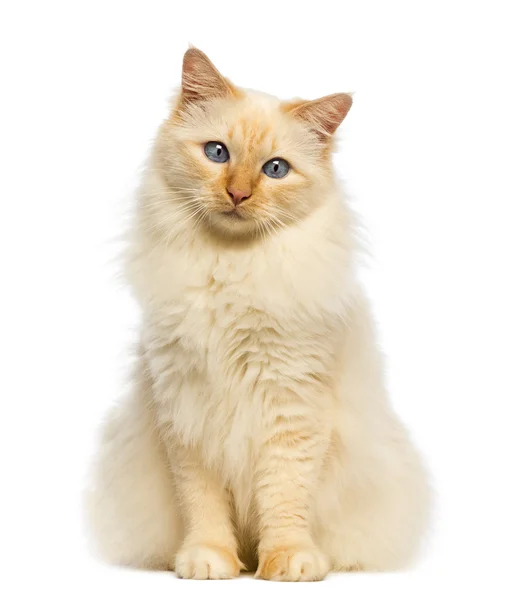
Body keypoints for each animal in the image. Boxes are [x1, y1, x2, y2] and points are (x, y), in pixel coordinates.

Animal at [85, 47, 430, 580]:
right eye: (217, 154)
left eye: (275, 169)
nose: (238, 194)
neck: (230, 270)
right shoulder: (186, 410)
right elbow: (202, 505)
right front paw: (210, 560)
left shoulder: (291, 406)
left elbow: (284, 499)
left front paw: (288, 561)